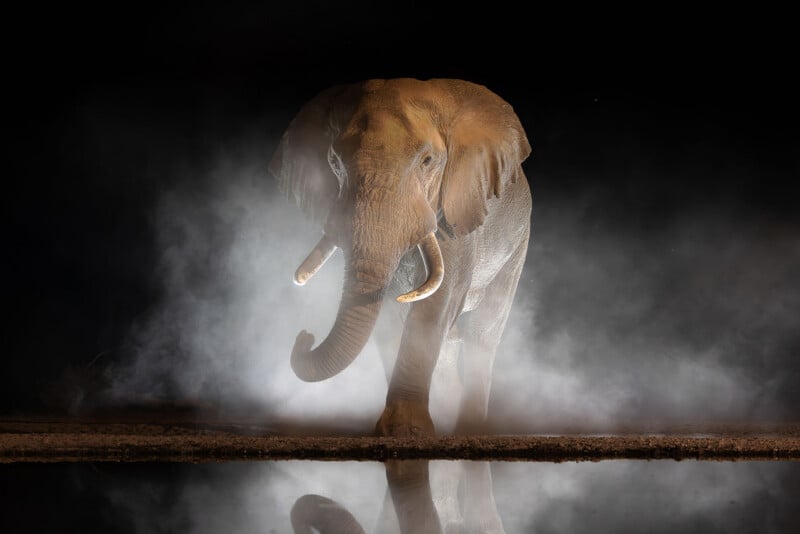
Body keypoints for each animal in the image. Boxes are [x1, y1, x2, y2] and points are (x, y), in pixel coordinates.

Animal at [268, 78, 532, 436]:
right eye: (334, 162)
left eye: (428, 161)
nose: (305, 336)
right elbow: (389, 314)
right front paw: (396, 430)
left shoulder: (456, 208)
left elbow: (438, 301)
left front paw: (406, 431)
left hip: (516, 247)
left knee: (482, 334)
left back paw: (469, 431)